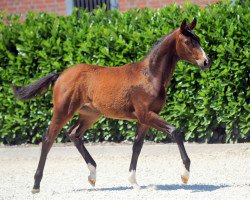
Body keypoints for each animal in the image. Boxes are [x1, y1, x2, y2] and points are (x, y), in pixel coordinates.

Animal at [12, 18, 211, 193]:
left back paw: (92, 175)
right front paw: (185, 175)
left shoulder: (144, 119)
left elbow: (137, 146)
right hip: (63, 111)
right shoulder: (146, 114)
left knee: (74, 133)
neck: (150, 75)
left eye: (199, 40)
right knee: (48, 139)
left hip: (90, 114)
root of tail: (61, 74)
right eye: (188, 42)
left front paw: (134, 182)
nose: (206, 62)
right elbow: (175, 132)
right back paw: (36, 185)